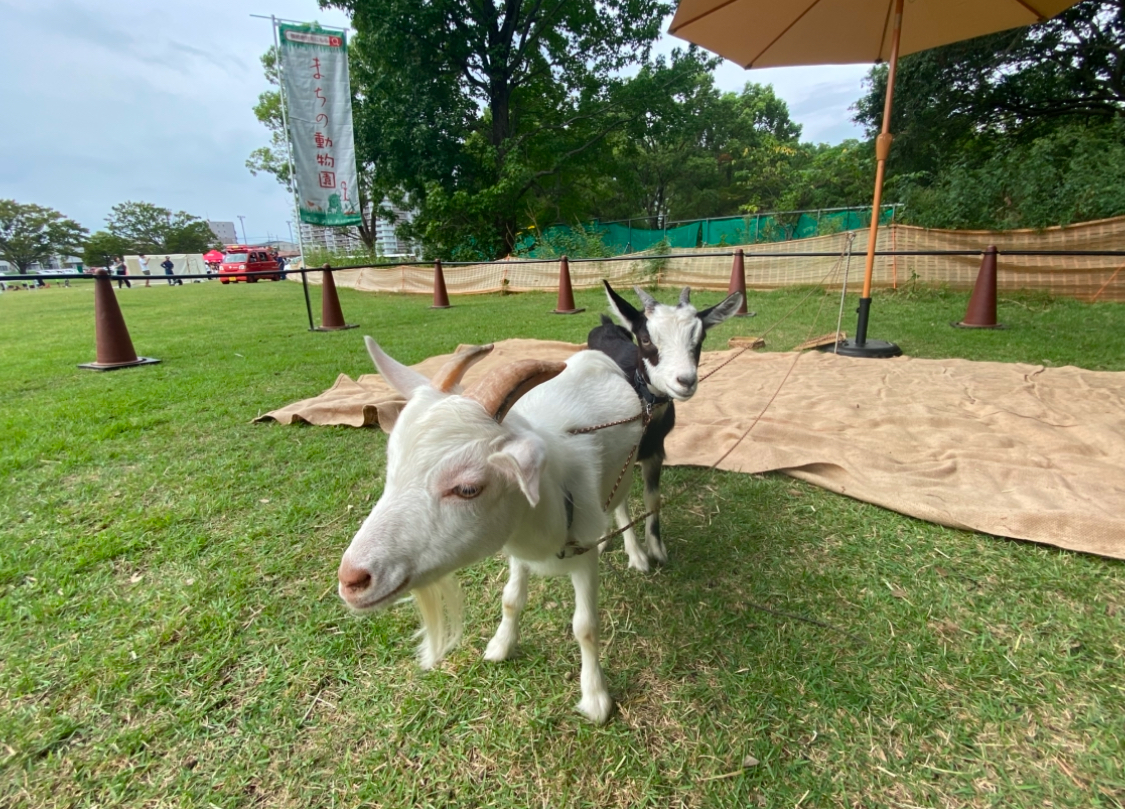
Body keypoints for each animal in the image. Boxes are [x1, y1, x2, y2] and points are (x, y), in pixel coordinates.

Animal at [335, 337, 643, 724]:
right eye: (393, 468)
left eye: (468, 489)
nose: (352, 579)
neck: (553, 496)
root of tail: (594, 356)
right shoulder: (515, 545)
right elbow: (510, 599)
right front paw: (500, 644)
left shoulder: (581, 549)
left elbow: (585, 626)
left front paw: (595, 697)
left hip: (625, 474)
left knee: (620, 504)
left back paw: (637, 553)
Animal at [585, 281, 742, 573]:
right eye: (646, 339)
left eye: (699, 339)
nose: (686, 381)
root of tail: (605, 325)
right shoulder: (618, 456)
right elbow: (619, 501)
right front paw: (636, 555)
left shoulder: (656, 451)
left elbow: (653, 499)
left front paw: (656, 547)